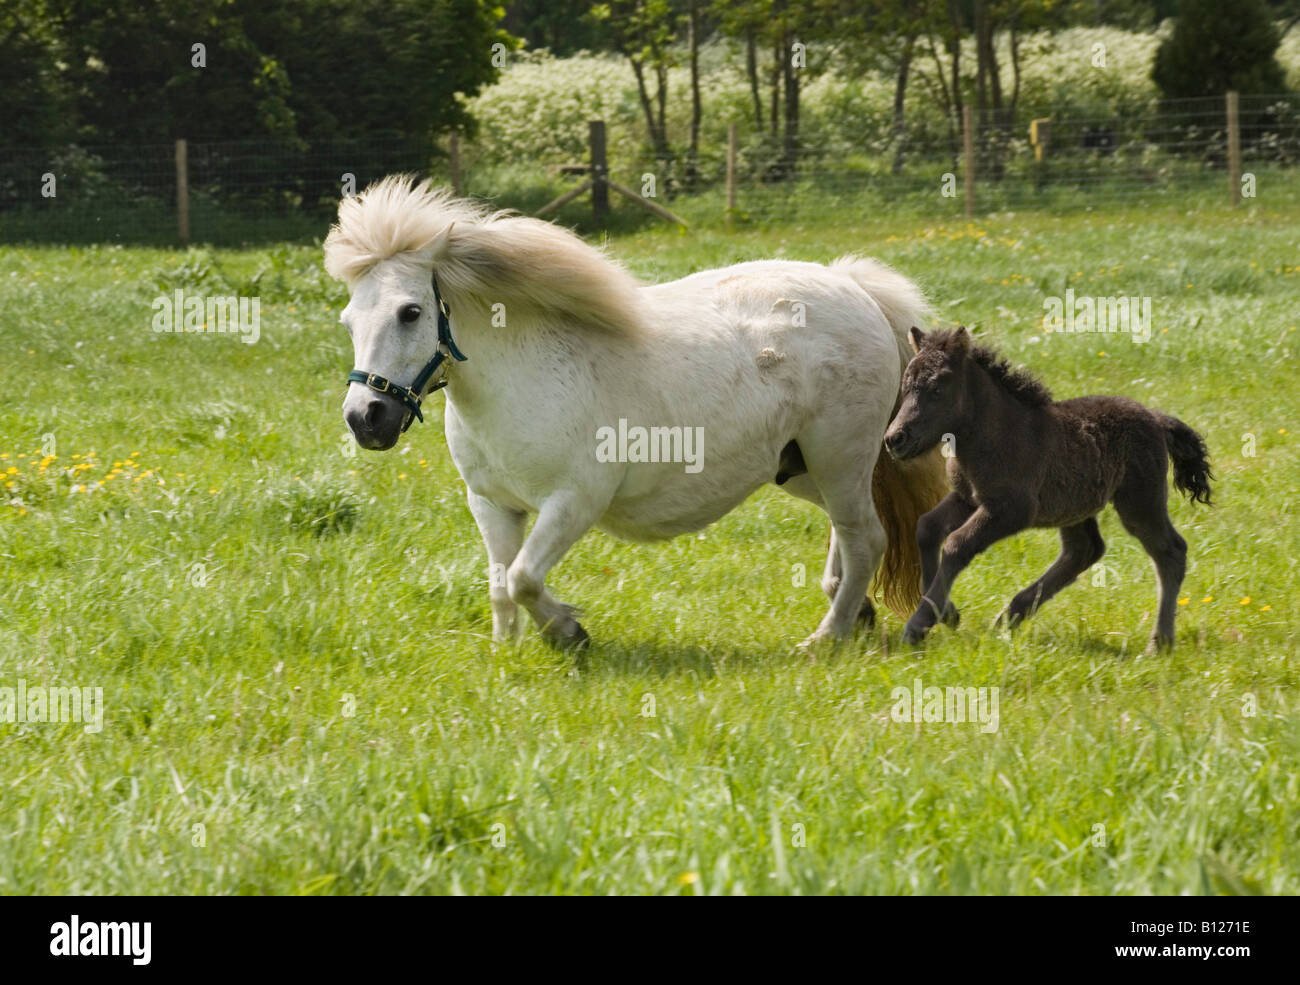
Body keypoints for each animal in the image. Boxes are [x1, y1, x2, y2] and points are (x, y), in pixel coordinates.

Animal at [322, 178, 946, 652]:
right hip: (801, 469)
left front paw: (569, 632)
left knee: (865, 537)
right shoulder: (492, 504)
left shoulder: (573, 502)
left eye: (410, 312)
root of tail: (854, 288)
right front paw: (509, 651)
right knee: (851, 533)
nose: (366, 419)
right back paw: (855, 613)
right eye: (348, 320)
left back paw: (825, 639)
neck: (522, 378)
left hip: (839, 457)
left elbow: (523, 577)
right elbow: (501, 584)